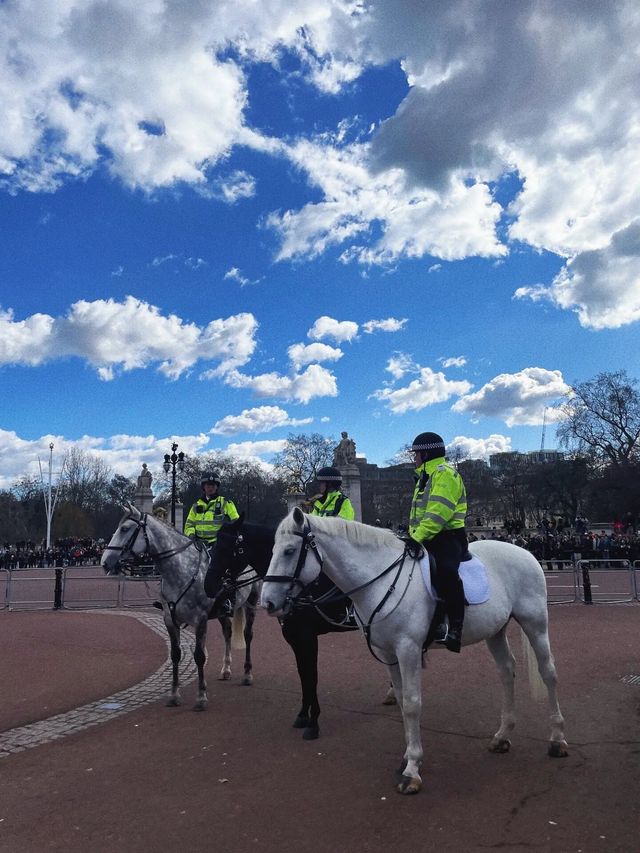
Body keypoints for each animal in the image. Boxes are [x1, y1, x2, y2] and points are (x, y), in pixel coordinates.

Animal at [100, 502, 260, 708]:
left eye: (125, 529)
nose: (105, 562)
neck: (180, 571)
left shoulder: (200, 619)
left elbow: (199, 655)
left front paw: (201, 696)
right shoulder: (169, 619)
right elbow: (176, 654)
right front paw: (174, 695)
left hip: (251, 602)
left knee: (248, 635)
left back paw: (247, 674)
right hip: (223, 612)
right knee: (228, 633)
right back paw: (226, 669)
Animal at [208, 512, 368, 740]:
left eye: (228, 548)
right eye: (213, 546)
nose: (208, 585)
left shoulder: (307, 637)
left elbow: (312, 675)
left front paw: (314, 722)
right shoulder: (293, 636)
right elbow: (303, 674)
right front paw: (303, 715)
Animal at [262, 506, 568, 792]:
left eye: (289, 550)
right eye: (273, 549)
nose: (267, 602)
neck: (380, 581)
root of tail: (525, 551)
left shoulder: (407, 649)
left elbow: (411, 704)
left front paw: (412, 769)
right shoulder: (388, 654)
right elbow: (399, 699)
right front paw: (407, 756)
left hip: (534, 622)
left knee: (549, 672)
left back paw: (557, 739)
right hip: (495, 630)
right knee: (506, 672)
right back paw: (503, 735)